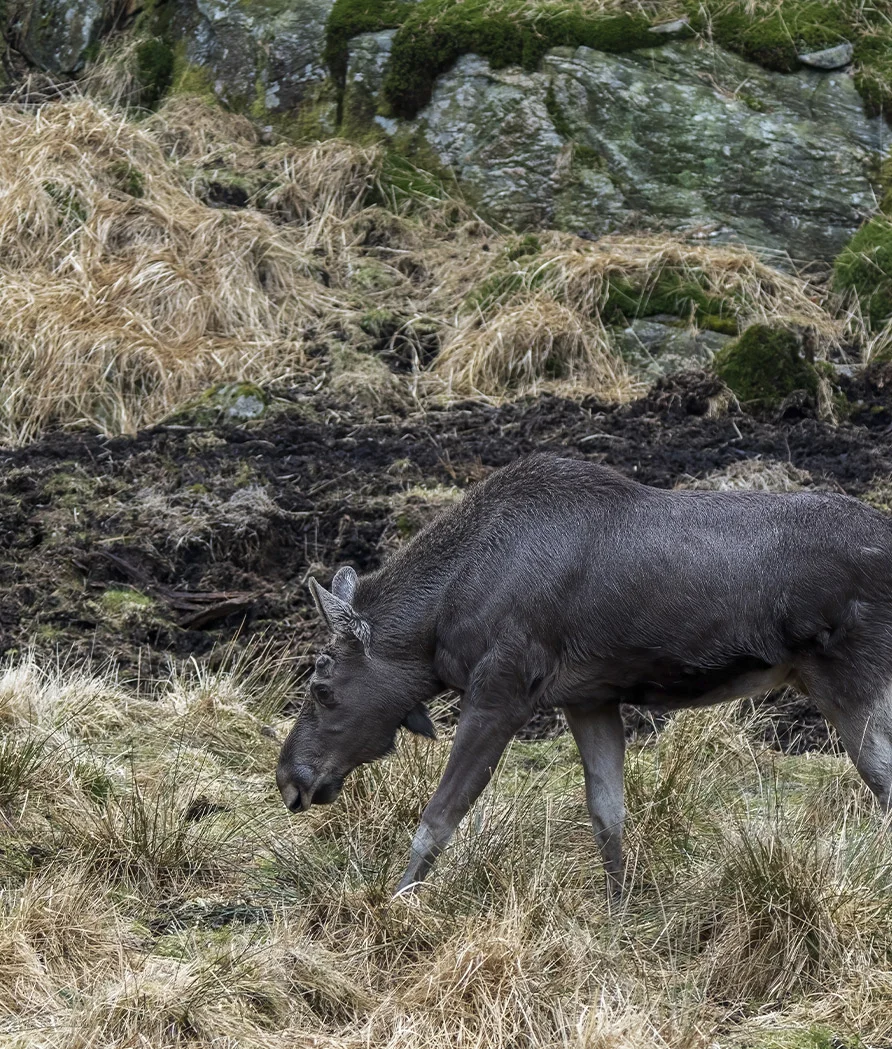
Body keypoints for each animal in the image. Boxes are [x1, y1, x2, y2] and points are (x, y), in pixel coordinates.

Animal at [274, 451, 889, 893]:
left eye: (321, 686)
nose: (288, 778)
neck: (441, 621)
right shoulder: (588, 698)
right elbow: (607, 813)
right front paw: (620, 912)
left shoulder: (502, 692)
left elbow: (438, 818)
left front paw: (397, 905)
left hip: (853, 681)